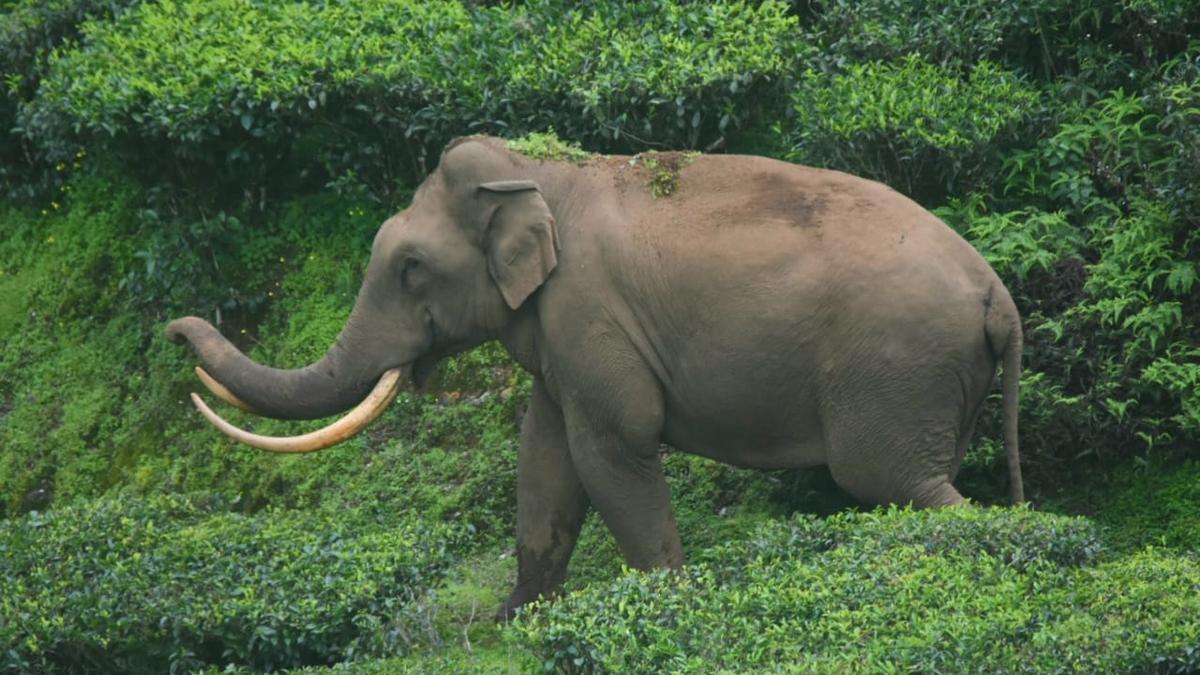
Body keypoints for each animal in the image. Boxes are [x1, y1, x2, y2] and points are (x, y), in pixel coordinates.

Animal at [166, 135, 1024, 620]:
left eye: (410, 268)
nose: (174, 329)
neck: (542, 171)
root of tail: (999, 295)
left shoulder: (589, 309)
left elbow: (611, 447)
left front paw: (669, 607)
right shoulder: (563, 339)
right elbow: (544, 457)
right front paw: (512, 618)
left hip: (897, 368)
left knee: (897, 481)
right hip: (938, 383)